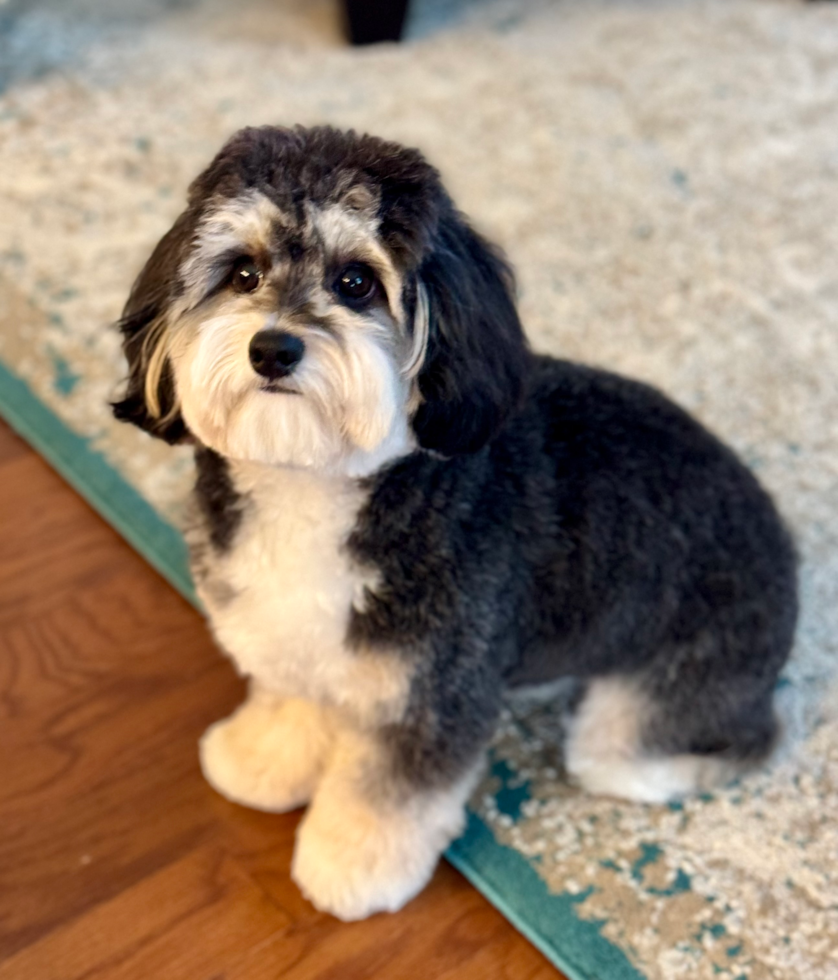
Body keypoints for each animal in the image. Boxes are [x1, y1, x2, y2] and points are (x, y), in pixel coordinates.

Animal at [111, 122, 800, 920]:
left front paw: (351, 867)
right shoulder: (297, 644)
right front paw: (261, 761)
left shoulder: (437, 693)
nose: (273, 347)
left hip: (664, 695)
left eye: (356, 282)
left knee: (718, 743)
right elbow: (296, 706)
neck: (321, 486)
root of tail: (784, 545)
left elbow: (388, 795)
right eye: (244, 273)